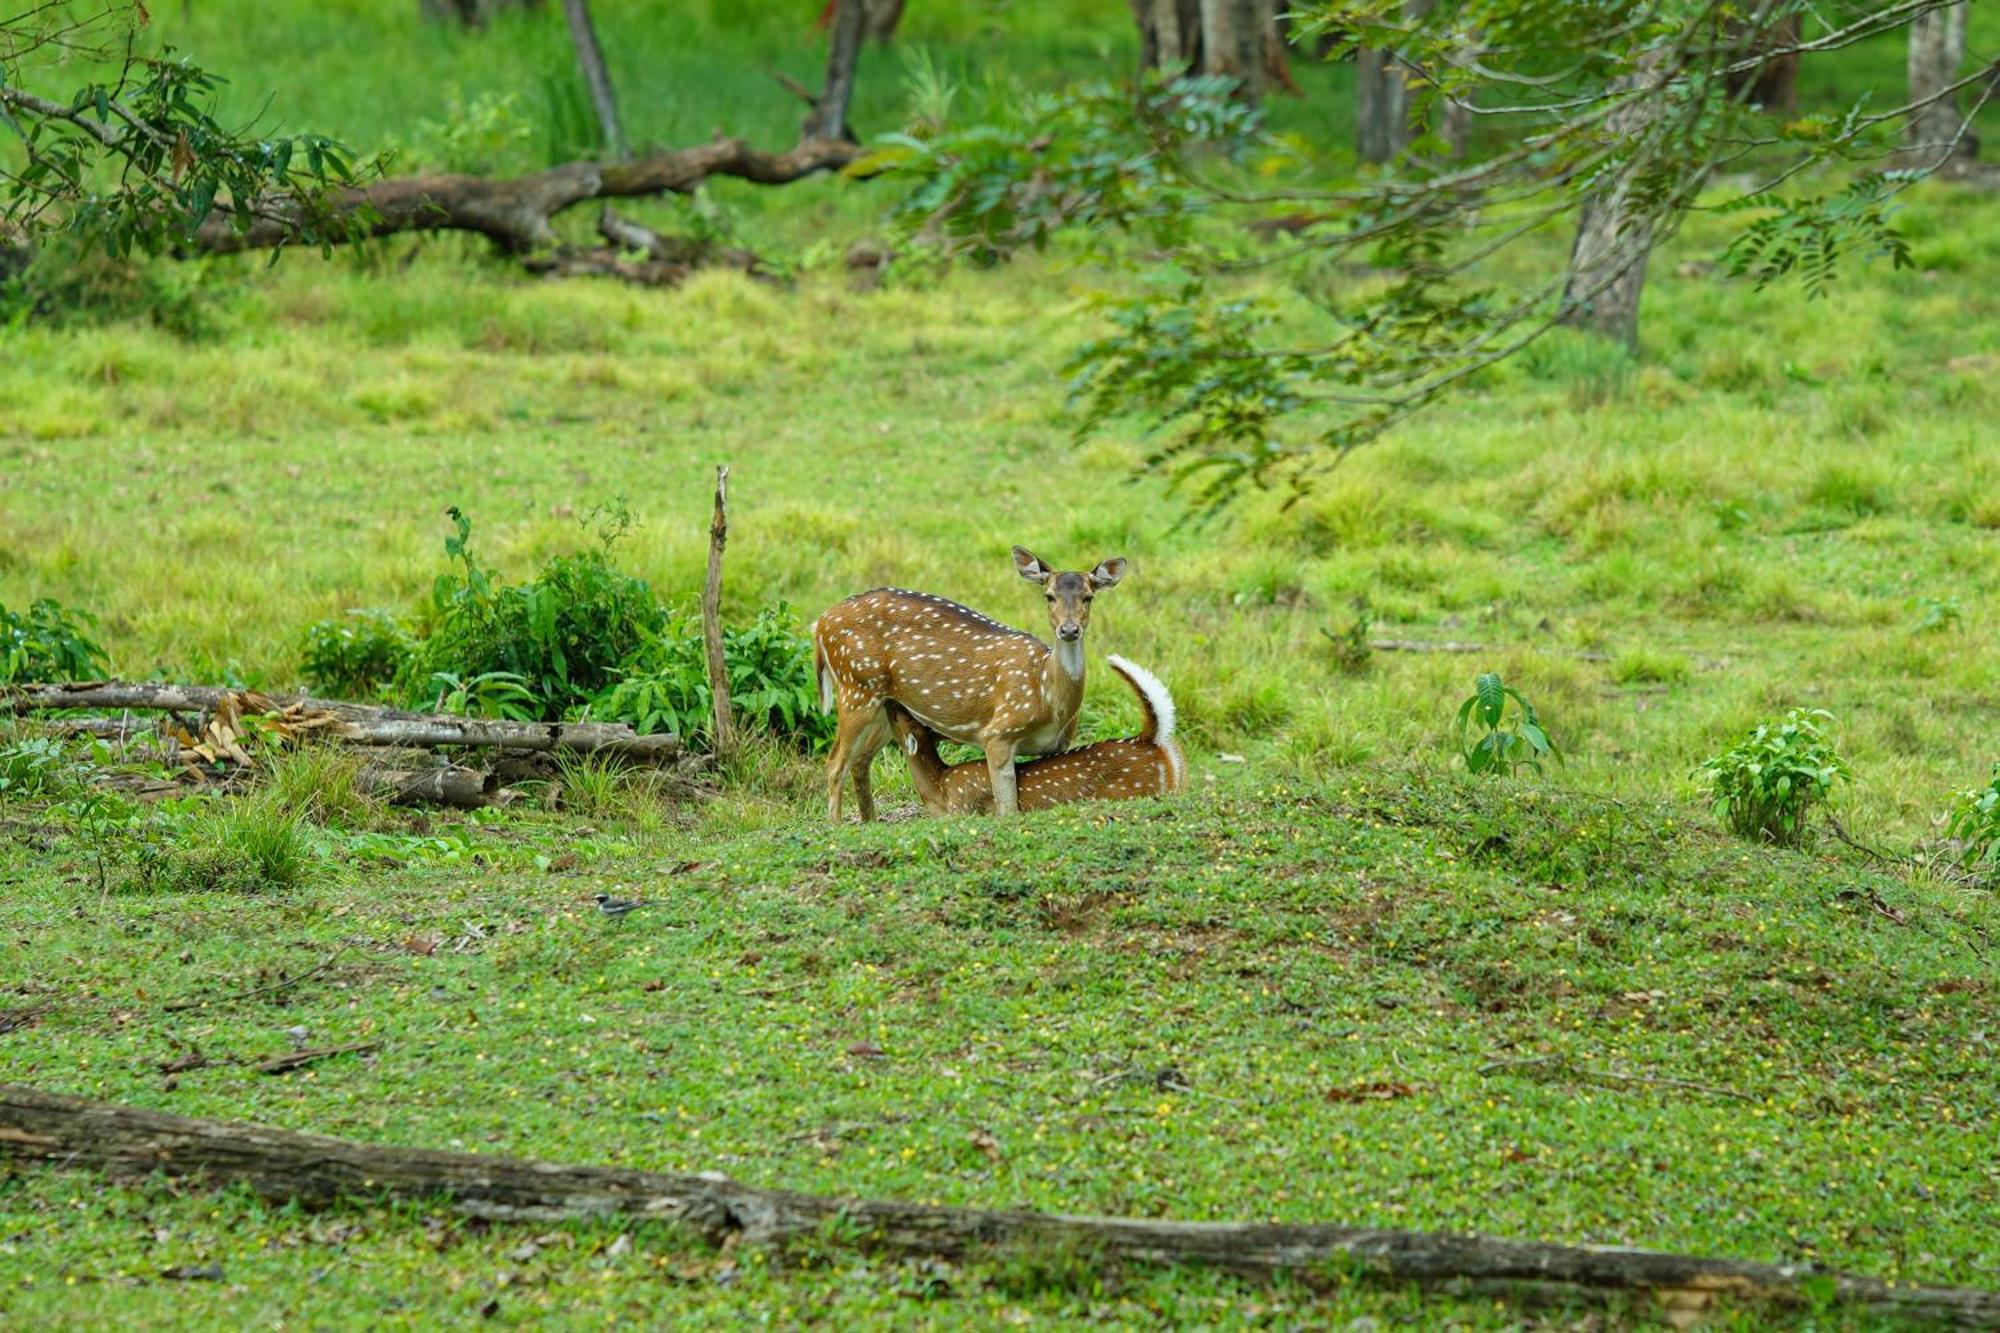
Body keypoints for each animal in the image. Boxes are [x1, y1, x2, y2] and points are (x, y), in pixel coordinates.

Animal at [808, 544, 1128, 820]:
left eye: (1089, 596)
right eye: (1048, 595)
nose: (1069, 629)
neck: (1047, 696)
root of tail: (819, 624)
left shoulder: (1058, 745)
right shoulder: (997, 732)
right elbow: (1006, 807)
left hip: (886, 706)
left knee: (860, 761)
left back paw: (870, 822)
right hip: (855, 688)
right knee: (834, 763)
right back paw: (836, 826)